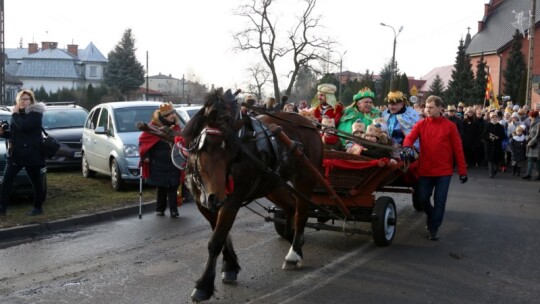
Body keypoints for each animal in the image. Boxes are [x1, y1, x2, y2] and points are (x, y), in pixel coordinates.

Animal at [181, 88, 322, 302]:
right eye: (203, 148)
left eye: (233, 152)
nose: (216, 197)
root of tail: (310, 124)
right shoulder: (202, 203)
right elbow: (222, 236)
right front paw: (230, 266)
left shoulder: (231, 202)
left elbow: (216, 241)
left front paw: (204, 285)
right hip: (272, 184)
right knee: (290, 207)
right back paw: (292, 237)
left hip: (304, 180)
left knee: (301, 214)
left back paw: (294, 253)